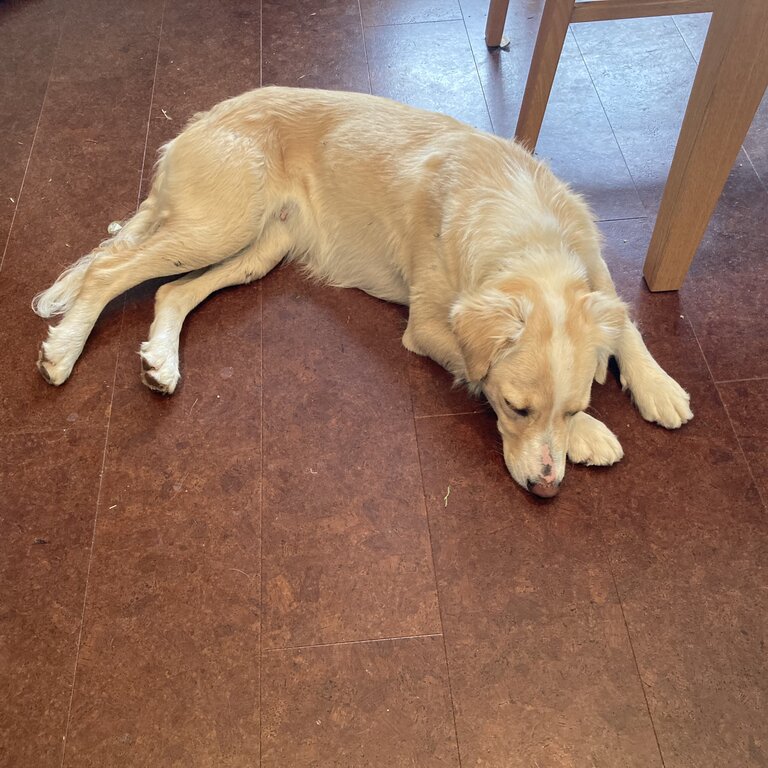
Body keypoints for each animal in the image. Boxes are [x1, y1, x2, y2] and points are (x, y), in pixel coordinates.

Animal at [31, 87, 688, 500]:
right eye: (514, 408)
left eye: (574, 404)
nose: (547, 489)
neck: (521, 227)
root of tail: (195, 124)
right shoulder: (427, 325)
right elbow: (475, 367)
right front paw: (594, 436)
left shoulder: (595, 267)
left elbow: (626, 322)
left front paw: (655, 388)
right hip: (219, 225)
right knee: (108, 268)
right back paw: (63, 349)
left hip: (256, 250)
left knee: (169, 292)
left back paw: (161, 361)